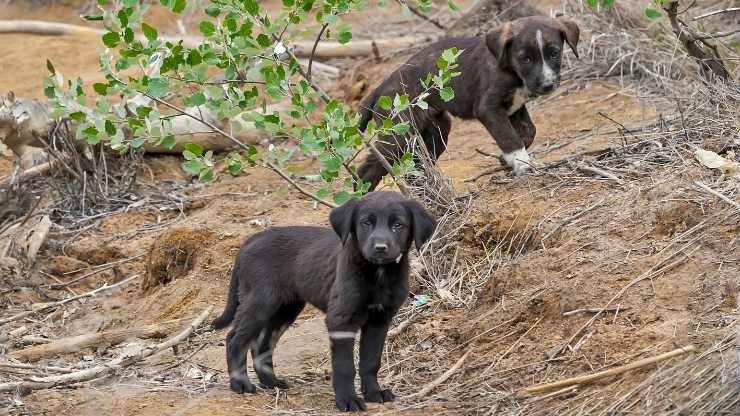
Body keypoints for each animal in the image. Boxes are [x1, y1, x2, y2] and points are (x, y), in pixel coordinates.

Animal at [211, 193, 436, 412]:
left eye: (398, 224)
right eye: (366, 223)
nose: (380, 248)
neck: (378, 273)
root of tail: (249, 241)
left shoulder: (379, 320)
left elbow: (371, 361)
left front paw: (373, 393)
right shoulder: (341, 320)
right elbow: (345, 367)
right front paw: (348, 400)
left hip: (286, 307)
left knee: (262, 343)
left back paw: (271, 381)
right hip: (261, 301)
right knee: (234, 338)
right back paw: (240, 383)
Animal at [356, 16, 580, 190]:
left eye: (554, 53)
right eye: (525, 59)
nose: (547, 85)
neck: (511, 70)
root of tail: (382, 86)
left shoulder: (514, 107)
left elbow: (528, 131)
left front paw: (505, 159)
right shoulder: (488, 108)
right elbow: (510, 137)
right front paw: (521, 163)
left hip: (436, 130)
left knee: (417, 165)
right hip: (397, 134)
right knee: (370, 167)